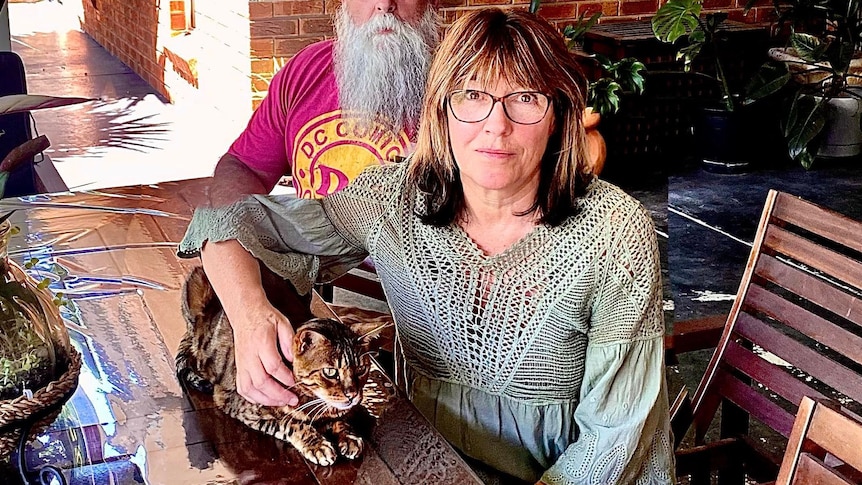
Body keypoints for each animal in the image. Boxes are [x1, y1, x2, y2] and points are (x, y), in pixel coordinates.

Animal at [176, 266, 382, 466]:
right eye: (330, 372)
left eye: (361, 370)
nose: (353, 395)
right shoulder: (243, 404)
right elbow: (289, 422)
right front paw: (317, 444)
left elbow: (340, 419)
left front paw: (349, 436)